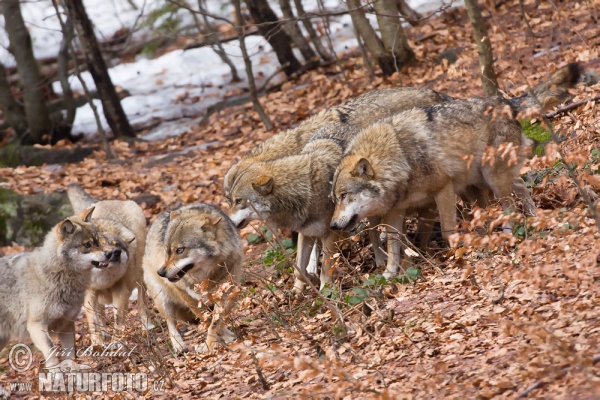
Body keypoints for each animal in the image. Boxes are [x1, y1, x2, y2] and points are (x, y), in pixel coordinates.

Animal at [0, 208, 106, 368]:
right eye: (87, 245)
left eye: (97, 242)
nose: (108, 254)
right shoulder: (36, 325)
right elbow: (51, 349)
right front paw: (55, 372)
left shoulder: (67, 324)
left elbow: (70, 354)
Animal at [67, 184, 154, 344]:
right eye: (97, 245)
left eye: (117, 245)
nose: (116, 252)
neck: (103, 280)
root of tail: (111, 200)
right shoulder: (89, 294)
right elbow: (93, 322)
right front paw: (98, 343)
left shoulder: (120, 292)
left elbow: (118, 320)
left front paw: (117, 342)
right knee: (101, 314)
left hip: (140, 280)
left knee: (142, 304)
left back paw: (147, 327)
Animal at [142, 203, 243, 354]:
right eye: (167, 250)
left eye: (180, 250)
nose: (160, 272)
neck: (206, 277)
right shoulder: (187, 295)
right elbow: (207, 320)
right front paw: (212, 344)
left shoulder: (227, 292)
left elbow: (215, 322)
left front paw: (212, 343)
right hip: (162, 299)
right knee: (170, 323)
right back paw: (179, 345)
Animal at [328, 64, 580, 280]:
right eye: (335, 199)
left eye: (344, 196)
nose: (332, 226)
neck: (399, 159)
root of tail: (505, 101)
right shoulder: (396, 212)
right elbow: (392, 247)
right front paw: (389, 274)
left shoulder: (444, 189)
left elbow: (447, 230)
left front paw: (457, 253)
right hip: (486, 177)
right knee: (519, 185)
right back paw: (534, 214)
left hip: (492, 177)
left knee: (509, 205)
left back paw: (510, 231)